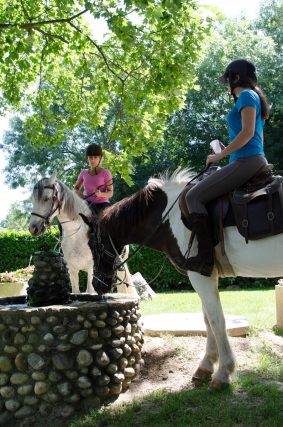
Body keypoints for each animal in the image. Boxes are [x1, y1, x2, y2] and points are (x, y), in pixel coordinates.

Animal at [85, 169, 283, 390]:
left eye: (92, 245)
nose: (97, 284)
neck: (168, 217)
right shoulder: (206, 276)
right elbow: (207, 320)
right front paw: (206, 366)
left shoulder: (199, 275)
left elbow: (216, 321)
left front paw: (223, 372)